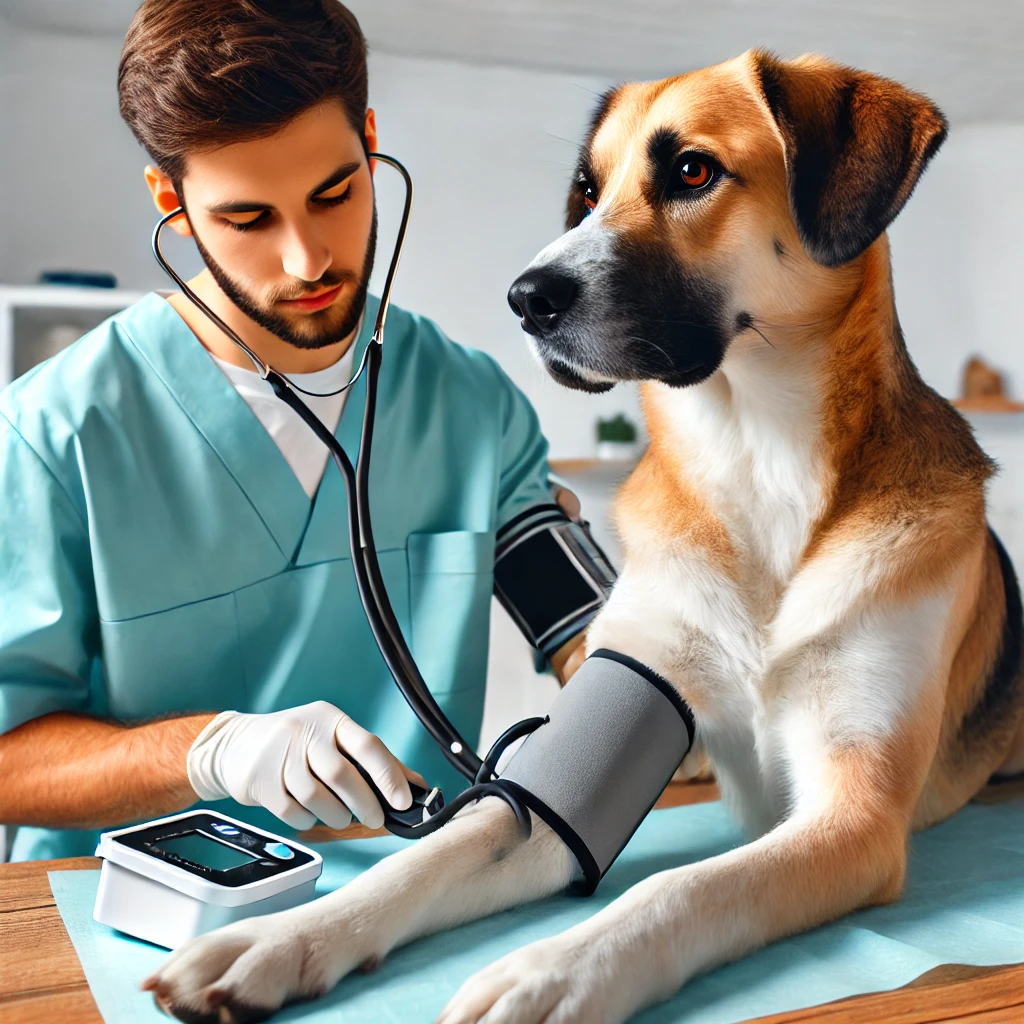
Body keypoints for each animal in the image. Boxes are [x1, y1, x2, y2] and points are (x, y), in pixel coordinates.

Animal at [142, 51, 1024, 1024]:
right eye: (589, 190)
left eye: (692, 171)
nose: (525, 299)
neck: (757, 461)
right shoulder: (604, 737)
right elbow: (448, 845)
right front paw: (278, 935)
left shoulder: (854, 815)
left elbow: (681, 886)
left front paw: (552, 971)